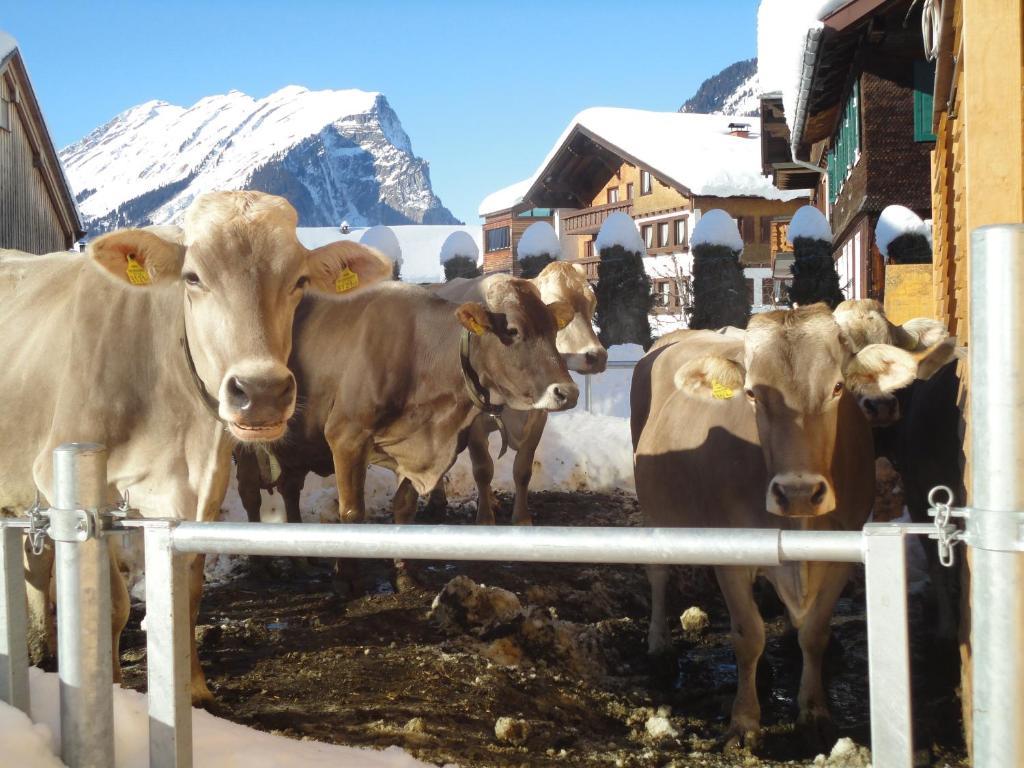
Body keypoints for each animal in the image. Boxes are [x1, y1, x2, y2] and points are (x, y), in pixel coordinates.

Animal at [0, 192, 391, 704]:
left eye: (300, 280)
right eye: (193, 277)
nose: (261, 392)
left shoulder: (201, 488)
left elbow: (186, 594)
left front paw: (194, 690)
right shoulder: (73, 489)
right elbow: (113, 602)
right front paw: (114, 685)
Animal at [630, 305, 950, 753]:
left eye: (837, 387)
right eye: (751, 393)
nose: (798, 491)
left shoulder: (840, 554)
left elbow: (813, 633)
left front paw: (814, 714)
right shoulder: (731, 556)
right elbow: (747, 635)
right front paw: (745, 721)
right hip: (655, 509)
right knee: (658, 572)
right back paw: (660, 647)